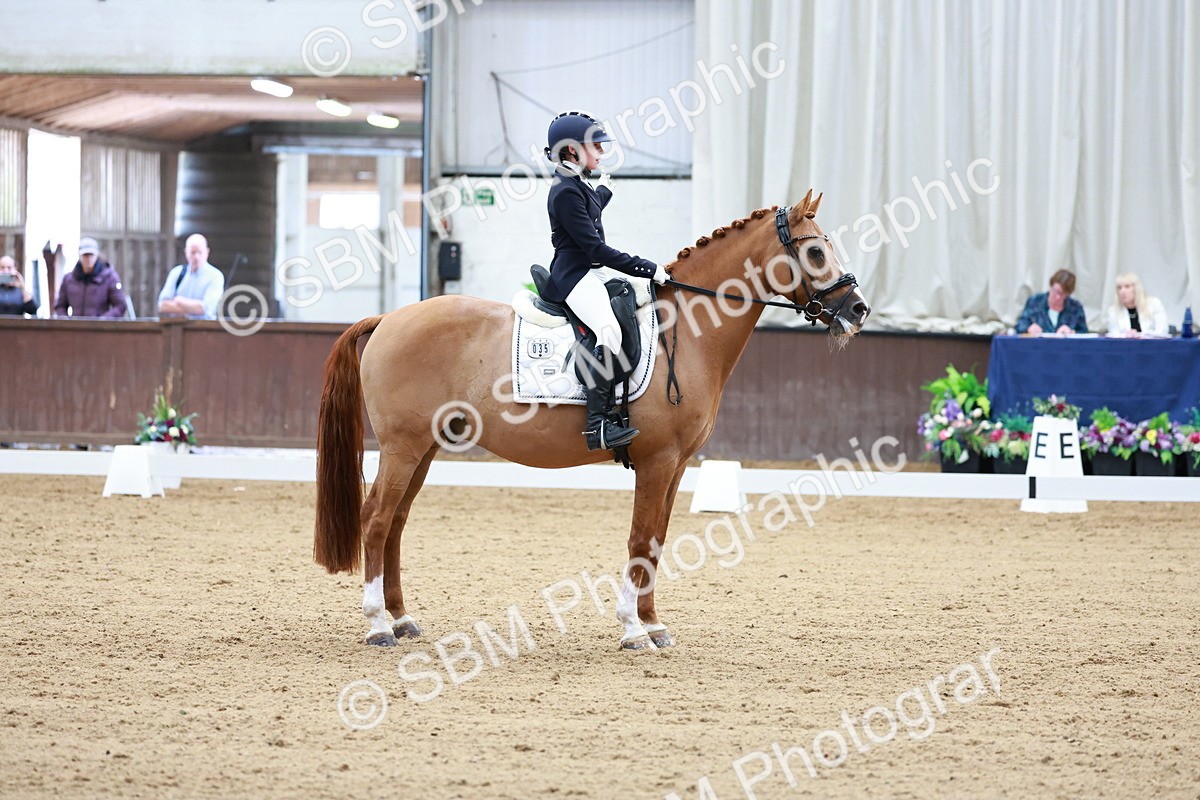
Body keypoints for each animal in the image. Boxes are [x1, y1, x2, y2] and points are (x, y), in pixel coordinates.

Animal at [313, 190, 871, 650]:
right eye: (816, 252)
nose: (858, 310)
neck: (689, 330)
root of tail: (388, 319)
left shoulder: (676, 466)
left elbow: (658, 541)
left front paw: (653, 624)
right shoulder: (657, 461)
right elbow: (640, 539)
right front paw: (632, 630)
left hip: (424, 448)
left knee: (397, 522)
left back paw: (402, 618)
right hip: (403, 446)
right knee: (376, 518)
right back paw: (378, 625)